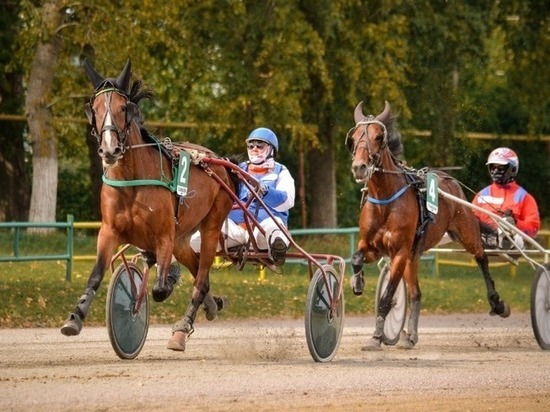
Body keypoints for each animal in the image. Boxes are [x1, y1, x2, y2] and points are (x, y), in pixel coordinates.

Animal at [61, 59, 238, 350]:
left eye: (123, 108)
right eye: (94, 110)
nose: (109, 150)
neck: (132, 182)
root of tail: (218, 160)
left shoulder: (164, 234)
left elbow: (159, 289)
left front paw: (167, 277)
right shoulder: (109, 231)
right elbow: (96, 275)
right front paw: (75, 318)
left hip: (211, 224)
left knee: (201, 277)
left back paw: (182, 327)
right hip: (183, 238)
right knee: (198, 269)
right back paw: (211, 304)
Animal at [348, 101, 512, 350]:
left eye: (378, 136)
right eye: (354, 136)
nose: (360, 167)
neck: (385, 201)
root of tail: (448, 179)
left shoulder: (400, 252)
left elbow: (387, 298)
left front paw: (376, 337)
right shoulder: (372, 246)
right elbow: (356, 257)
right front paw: (357, 282)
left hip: (465, 231)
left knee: (481, 257)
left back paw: (497, 304)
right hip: (414, 255)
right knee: (416, 293)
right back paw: (411, 336)